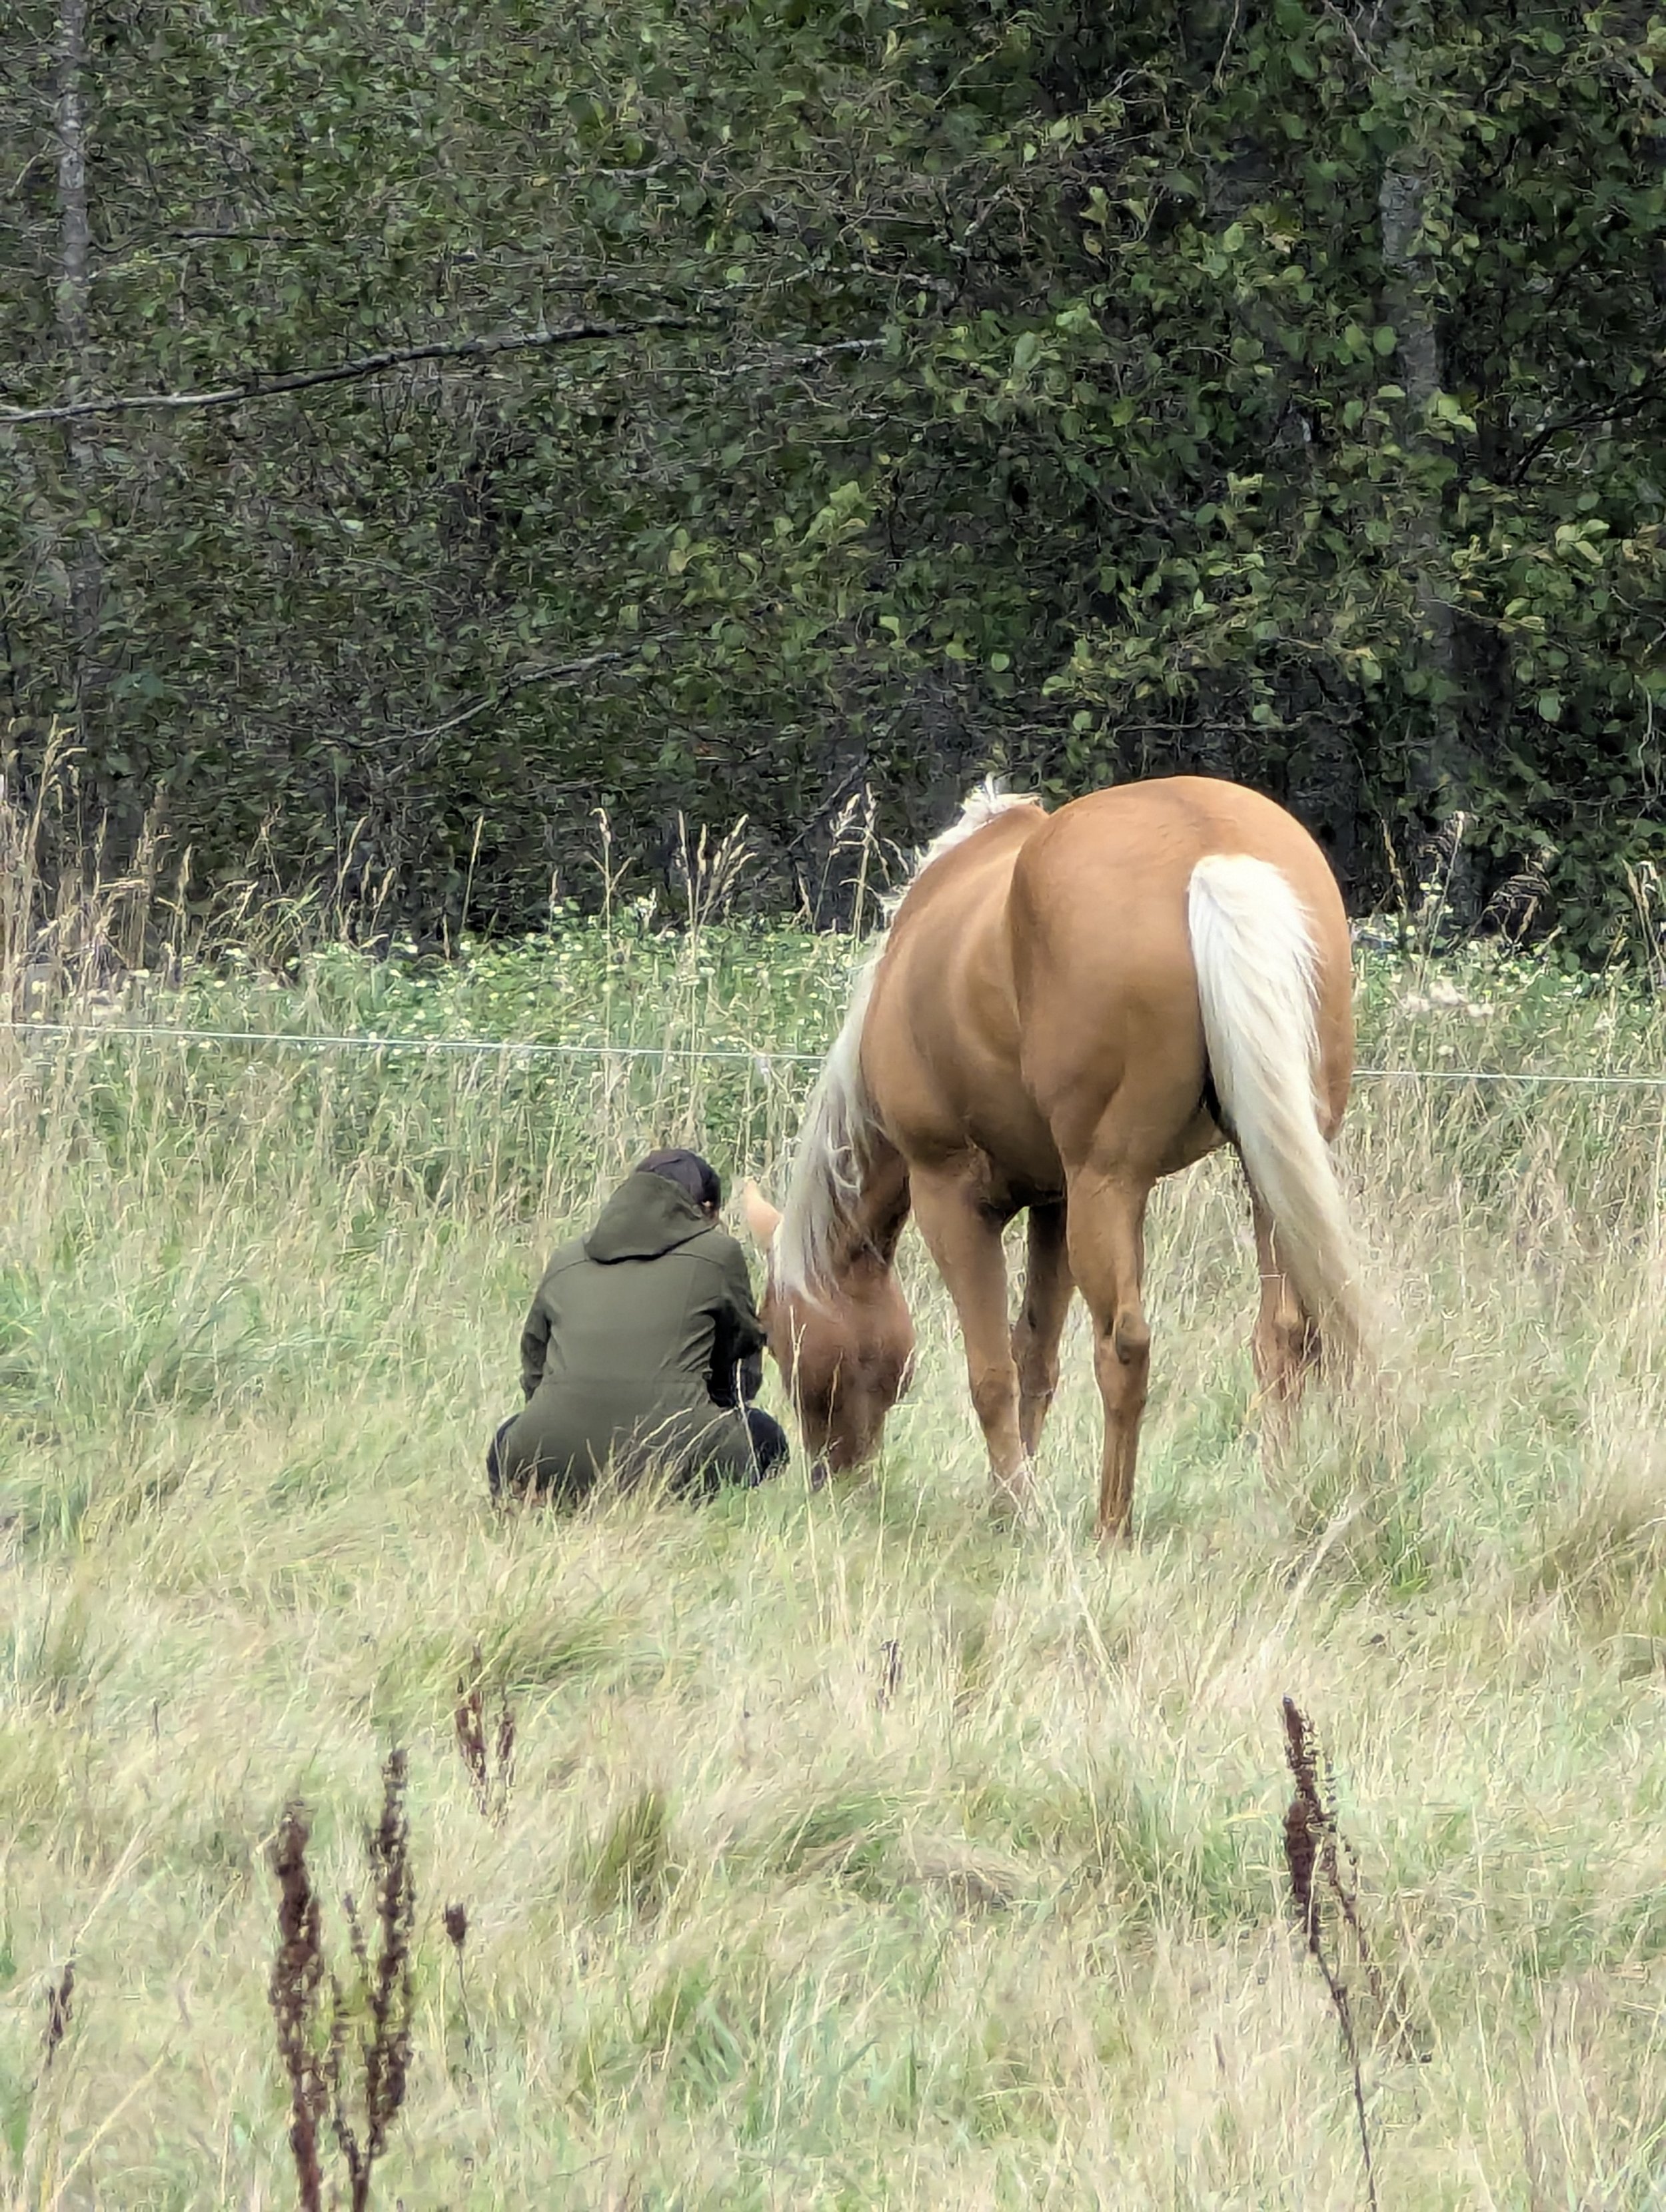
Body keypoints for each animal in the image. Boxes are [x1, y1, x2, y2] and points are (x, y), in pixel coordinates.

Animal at [742, 775, 1368, 1543]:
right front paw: (1009, 1499)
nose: (831, 1479)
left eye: (776, 1337)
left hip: (1113, 1182)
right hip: (1263, 1168)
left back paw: (1111, 1527)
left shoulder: (952, 1197)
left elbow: (991, 1373)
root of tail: (1213, 851)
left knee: (1125, 1347)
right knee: (1282, 1336)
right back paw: (1272, 1503)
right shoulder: (1054, 1201)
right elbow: (1033, 1354)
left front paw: (1017, 1507)